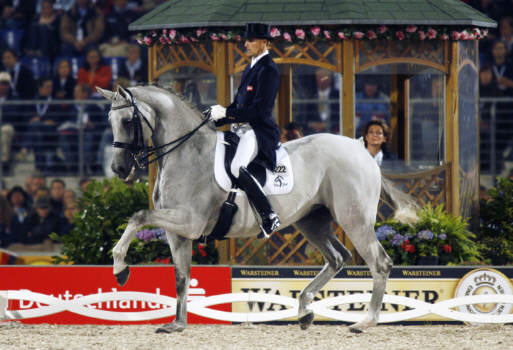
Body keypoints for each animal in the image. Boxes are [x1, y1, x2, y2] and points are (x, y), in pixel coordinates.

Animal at [97, 84, 416, 334]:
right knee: (337, 257)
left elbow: (138, 216)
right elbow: (181, 276)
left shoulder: (190, 222)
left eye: (128, 120)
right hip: (312, 221)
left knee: (379, 263)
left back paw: (365, 321)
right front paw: (177, 323)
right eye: (109, 120)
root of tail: (361, 151)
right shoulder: (178, 232)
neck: (185, 153)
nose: (120, 169)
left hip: (354, 220)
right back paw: (305, 311)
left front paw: (120, 268)